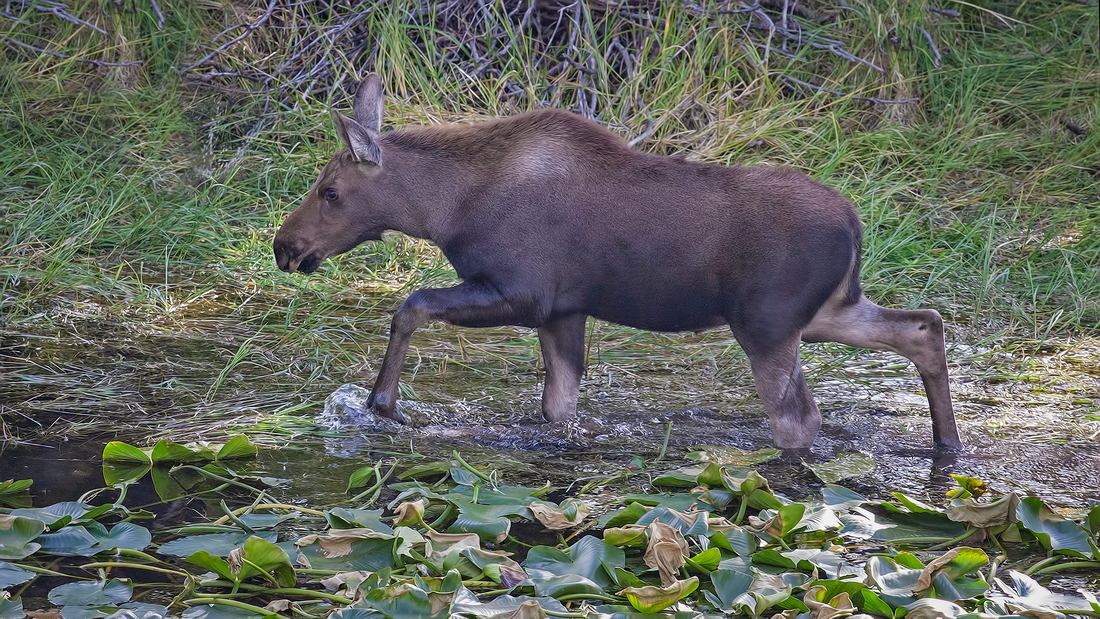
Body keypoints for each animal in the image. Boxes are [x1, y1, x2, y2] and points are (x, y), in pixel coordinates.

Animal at [275, 73, 963, 450]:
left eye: (330, 191)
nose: (285, 247)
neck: (446, 210)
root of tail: (854, 223)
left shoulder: (523, 290)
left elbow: (411, 303)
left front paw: (381, 403)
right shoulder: (563, 311)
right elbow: (558, 408)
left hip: (768, 324)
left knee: (799, 419)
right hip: (826, 310)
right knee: (924, 324)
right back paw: (947, 446)